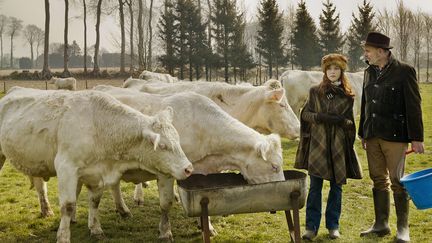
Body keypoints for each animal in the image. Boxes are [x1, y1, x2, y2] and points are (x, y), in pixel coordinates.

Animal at [0, 86, 192, 242]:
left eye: (178, 140)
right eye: (163, 146)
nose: (188, 168)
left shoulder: (97, 173)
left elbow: (94, 201)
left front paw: (96, 229)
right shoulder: (66, 167)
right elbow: (68, 205)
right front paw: (63, 236)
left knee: (41, 186)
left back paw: (46, 210)